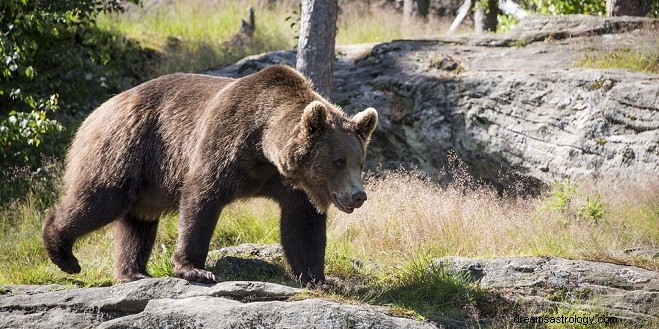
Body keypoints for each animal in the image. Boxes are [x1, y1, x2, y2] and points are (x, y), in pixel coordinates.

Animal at [42, 64, 376, 284]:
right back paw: (63, 253)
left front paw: (320, 278)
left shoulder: (291, 184)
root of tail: (98, 110)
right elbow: (201, 198)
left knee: (138, 222)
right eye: (338, 161)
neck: (263, 148)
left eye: (359, 161)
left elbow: (303, 226)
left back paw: (133, 272)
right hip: (126, 149)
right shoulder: (224, 143)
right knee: (100, 199)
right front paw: (195, 268)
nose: (358, 196)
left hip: (145, 179)